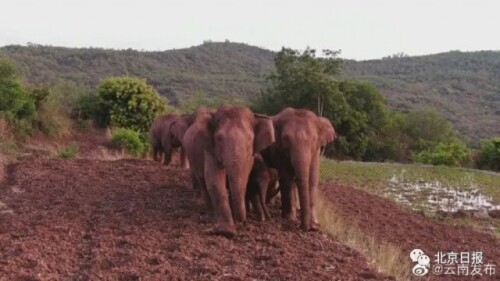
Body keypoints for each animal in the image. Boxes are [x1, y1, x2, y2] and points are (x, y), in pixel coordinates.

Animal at [202, 105, 274, 236]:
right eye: (219, 138)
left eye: (250, 138)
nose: (241, 220)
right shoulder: (210, 148)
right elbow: (213, 179)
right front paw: (225, 231)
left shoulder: (250, 156)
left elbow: (244, 177)